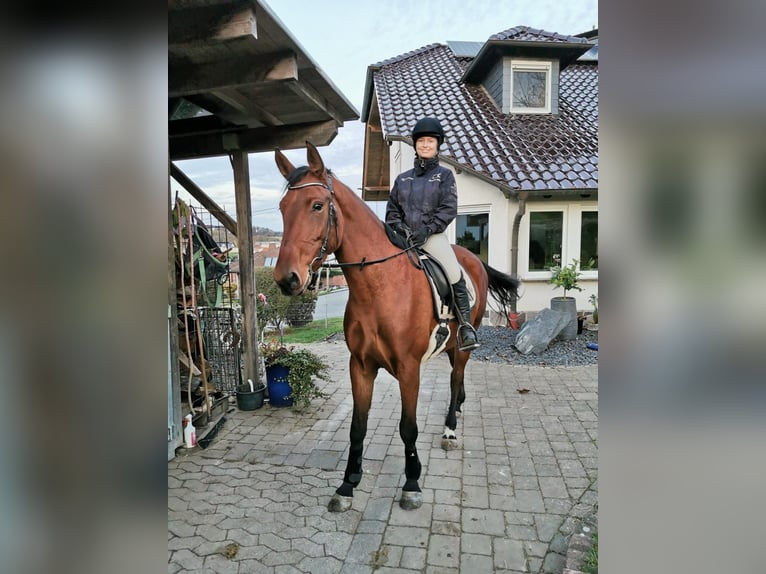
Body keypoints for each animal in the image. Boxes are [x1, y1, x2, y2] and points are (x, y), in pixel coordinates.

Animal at [273, 142, 520, 512]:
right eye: (282, 208)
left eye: (317, 205)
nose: (287, 279)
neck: (380, 287)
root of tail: (473, 257)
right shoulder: (360, 367)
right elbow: (357, 427)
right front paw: (347, 484)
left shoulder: (408, 368)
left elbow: (408, 428)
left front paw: (412, 483)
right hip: (449, 346)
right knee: (456, 380)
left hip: (463, 344)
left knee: (455, 379)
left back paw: (450, 429)